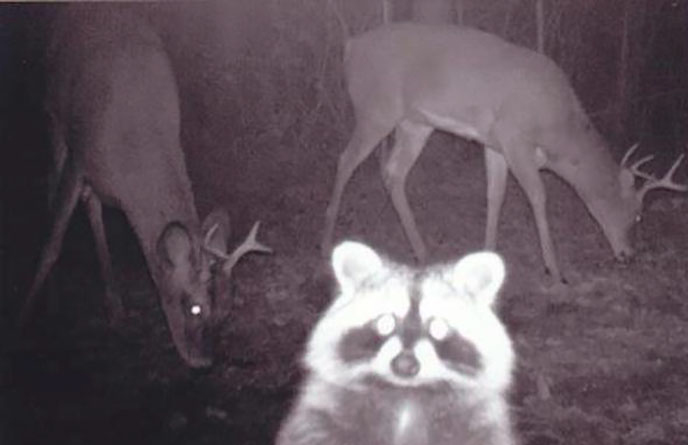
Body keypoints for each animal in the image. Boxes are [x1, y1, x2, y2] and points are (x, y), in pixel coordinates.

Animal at [21, 5, 271, 368]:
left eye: (227, 310)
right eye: (194, 307)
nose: (204, 361)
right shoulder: (80, 153)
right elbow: (52, 242)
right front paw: (22, 320)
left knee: (91, 205)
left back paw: (113, 305)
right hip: (53, 114)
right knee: (53, 189)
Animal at [276, 241, 516, 445]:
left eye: (437, 327)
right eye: (385, 322)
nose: (405, 365)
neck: (406, 393)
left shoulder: (481, 425)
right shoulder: (322, 415)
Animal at [321, 22, 687, 284]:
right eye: (637, 214)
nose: (629, 255)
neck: (558, 130)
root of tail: (350, 46)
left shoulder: (494, 144)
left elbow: (495, 195)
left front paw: (488, 252)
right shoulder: (515, 138)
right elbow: (538, 196)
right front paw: (554, 269)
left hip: (414, 123)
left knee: (393, 173)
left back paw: (422, 252)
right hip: (376, 110)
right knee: (345, 160)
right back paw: (327, 239)